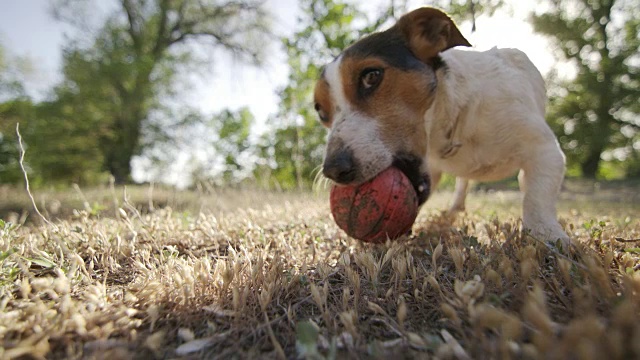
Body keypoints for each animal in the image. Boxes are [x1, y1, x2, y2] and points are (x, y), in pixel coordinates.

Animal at [316, 7, 568, 248]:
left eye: (371, 76)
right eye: (320, 111)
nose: (333, 170)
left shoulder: (546, 151)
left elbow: (536, 198)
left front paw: (547, 235)